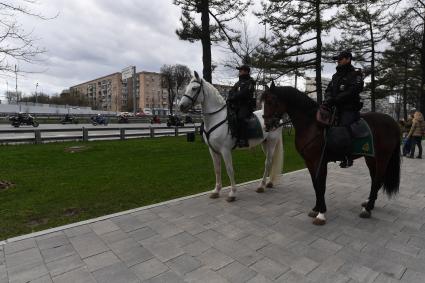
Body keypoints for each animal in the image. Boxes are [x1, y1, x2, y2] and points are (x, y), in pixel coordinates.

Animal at [177, 72, 284, 203]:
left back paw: (261, 186)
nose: (181, 106)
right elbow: (217, 169)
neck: (216, 118)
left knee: (267, 162)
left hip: (272, 143)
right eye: (187, 87)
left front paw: (233, 193)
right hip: (265, 144)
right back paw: (269, 182)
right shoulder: (213, 151)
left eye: (194, 88)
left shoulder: (225, 150)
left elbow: (229, 169)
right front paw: (216, 191)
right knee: (271, 161)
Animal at [262, 84, 400, 226]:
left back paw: (367, 209)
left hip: (382, 157)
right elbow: (315, 184)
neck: (312, 124)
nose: (267, 125)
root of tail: (393, 122)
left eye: (271, 101)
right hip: (370, 158)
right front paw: (316, 208)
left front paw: (321, 213)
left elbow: (320, 185)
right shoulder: (309, 162)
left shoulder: (319, 161)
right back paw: (369, 203)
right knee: (374, 179)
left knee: (378, 179)